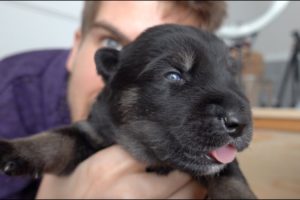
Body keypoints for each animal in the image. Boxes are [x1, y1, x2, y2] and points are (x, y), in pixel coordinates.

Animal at [1, 24, 256, 198]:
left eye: (233, 78)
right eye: (174, 75)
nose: (240, 122)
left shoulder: (223, 166)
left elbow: (232, 179)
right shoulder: (92, 132)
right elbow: (56, 139)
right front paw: (15, 149)